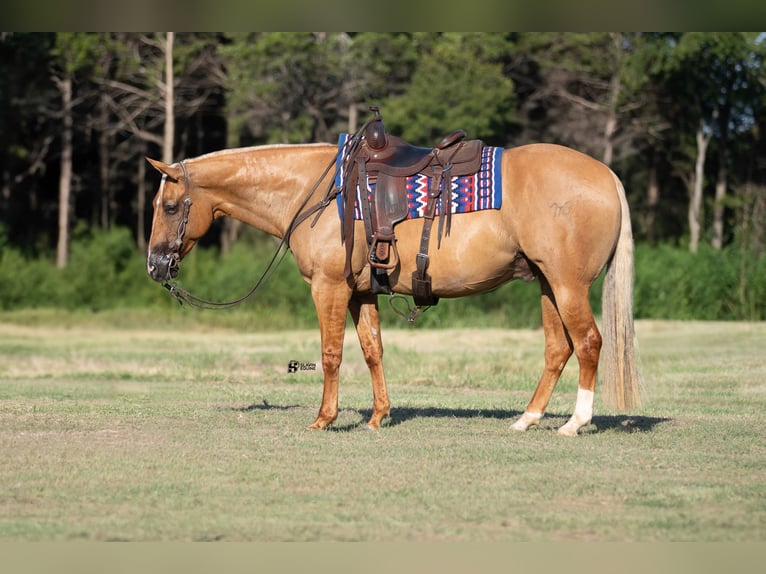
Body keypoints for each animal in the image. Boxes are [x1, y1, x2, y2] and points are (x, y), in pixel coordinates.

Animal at [144, 138, 640, 436]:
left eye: (168, 206)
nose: (155, 265)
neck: (317, 193)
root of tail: (607, 175)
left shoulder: (329, 288)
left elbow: (331, 353)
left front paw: (324, 418)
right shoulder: (361, 293)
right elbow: (372, 350)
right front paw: (379, 415)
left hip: (568, 285)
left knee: (589, 342)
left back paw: (575, 422)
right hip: (546, 284)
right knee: (559, 348)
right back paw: (527, 418)